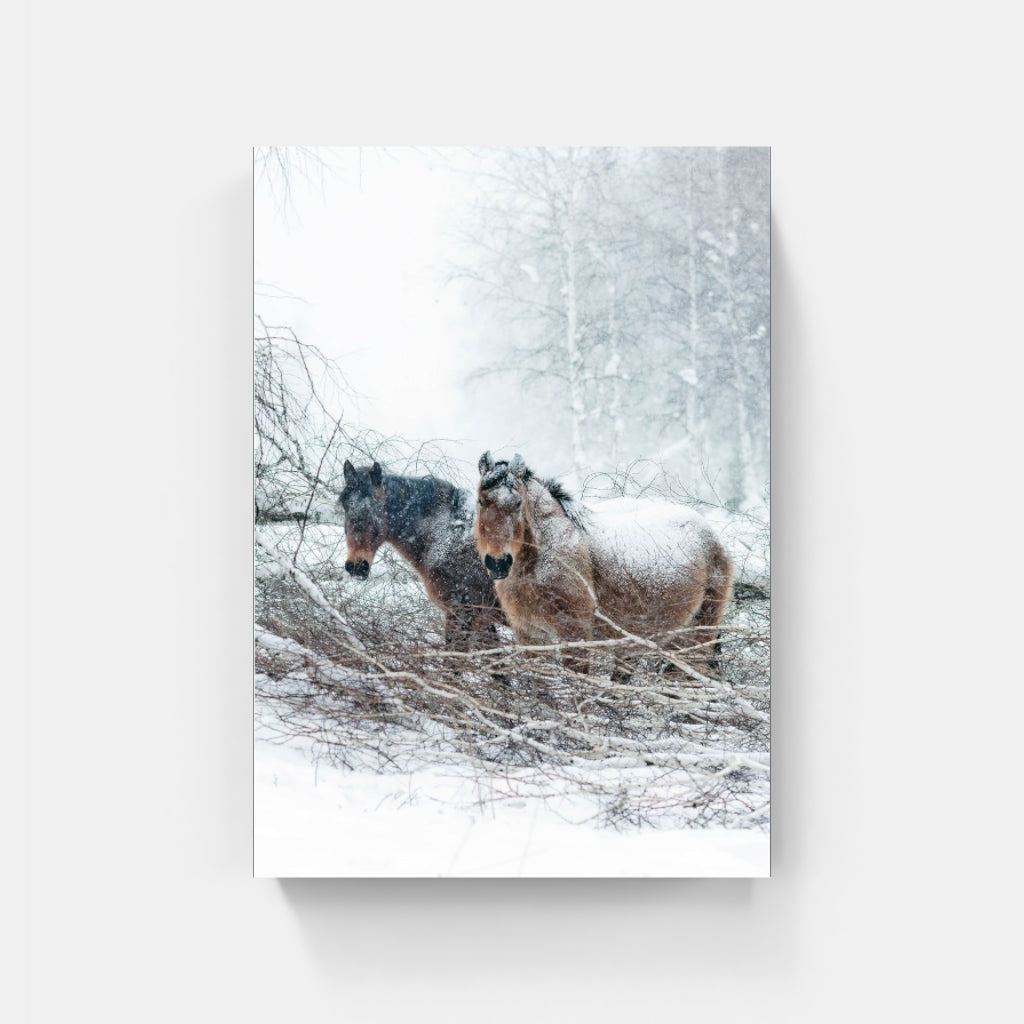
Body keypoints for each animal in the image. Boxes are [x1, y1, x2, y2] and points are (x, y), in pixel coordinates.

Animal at [338, 460, 505, 647]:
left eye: (377, 505)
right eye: (344, 504)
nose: (356, 566)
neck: (443, 533)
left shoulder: (462, 612)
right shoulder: (482, 619)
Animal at [473, 452, 734, 676]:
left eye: (518, 503)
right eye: (480, 501)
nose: (498, 563)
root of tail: (713, 536)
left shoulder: (575, 632)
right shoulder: (529, 634)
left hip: (697, 636)